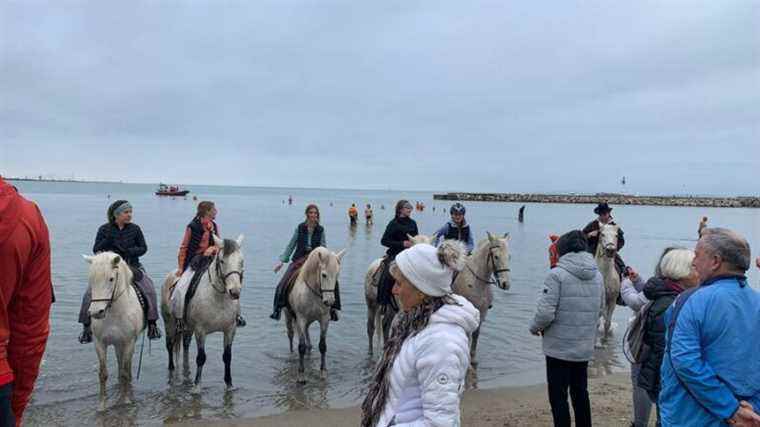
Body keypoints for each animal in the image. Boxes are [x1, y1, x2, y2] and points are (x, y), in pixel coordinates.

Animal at [83, 252, 145, 410]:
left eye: (111, 279)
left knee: (126, 367)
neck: (114, 313)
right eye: (91, 279)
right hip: (117, 344)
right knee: (119, 362)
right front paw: (102, 405)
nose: (96, 312)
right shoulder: (99, 343)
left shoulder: (129, 342)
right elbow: (103, 374)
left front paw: (125, 401)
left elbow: (125, 372)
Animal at [160, 234, 243, 394]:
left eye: (241, 261)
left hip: (187, 327)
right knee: (170, 344)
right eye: (222, 261)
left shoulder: (230, 329)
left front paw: (229, 384)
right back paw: (172, 370)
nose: (235, 292)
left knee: (185, 344)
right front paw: (197, 386)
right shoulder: (200, 331)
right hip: (170, 322)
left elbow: (227, 356)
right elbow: (201, 357)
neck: (218, 297)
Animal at [284, 247, 346, 384]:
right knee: (290, 335)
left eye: (337, 274)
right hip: (289, 316)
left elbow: (322, 346)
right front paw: (301, 376)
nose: (330, 301)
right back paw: (291, 354)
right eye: (324, 275)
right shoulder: (301, 318)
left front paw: (323, 372)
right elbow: (301, 347)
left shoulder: (324, 319)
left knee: (307, 336)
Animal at [452, 232, 510, 366]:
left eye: (509, 257)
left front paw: (472, 358)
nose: (505, 284)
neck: (477, 282)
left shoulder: (482, 312)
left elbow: (476, 334)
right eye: (496, 257)